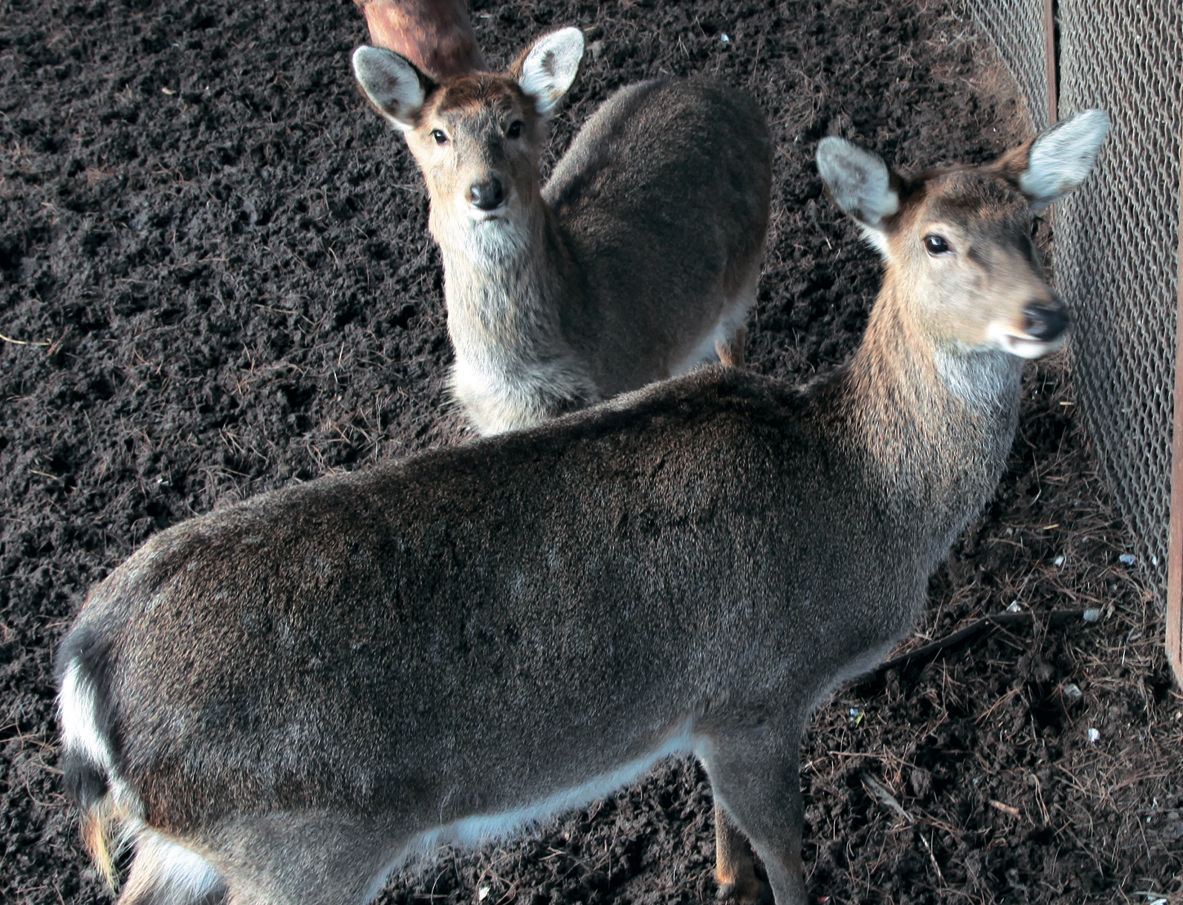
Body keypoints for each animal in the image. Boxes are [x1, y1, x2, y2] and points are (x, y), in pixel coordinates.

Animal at [55, 107, 1107, 903]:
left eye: (1030, 224)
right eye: (934, 240)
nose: (1044, 314)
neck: (868, 499)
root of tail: (81, 673)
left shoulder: (710, 707)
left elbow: (729, 833)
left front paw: (720, 881)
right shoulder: (758, 688)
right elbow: (786, 852)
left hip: (188, 846)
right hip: (299, 840)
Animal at [347, 26, 776, 435]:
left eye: (514, 126)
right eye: (439, 134)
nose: (486, 191)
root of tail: (734, 95)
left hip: (744, 267)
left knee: (732, 341)